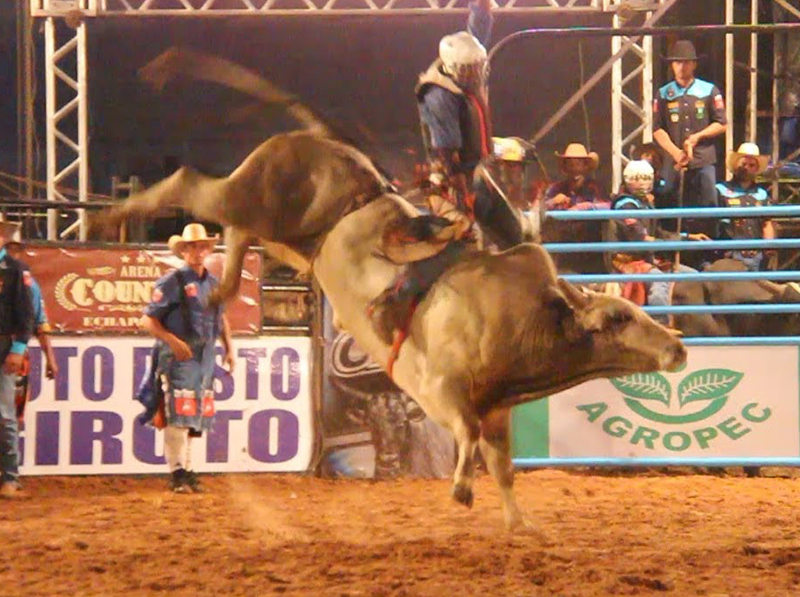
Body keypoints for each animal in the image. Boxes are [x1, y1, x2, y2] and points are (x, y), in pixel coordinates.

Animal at [90, 49, 684, 528]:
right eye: (620, 318)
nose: (678, 349)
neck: (524, 318)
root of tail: (324, 141)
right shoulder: (440, 388)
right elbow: (466, 436)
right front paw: (461, 490)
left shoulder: (497, 411)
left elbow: (502, 465)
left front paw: (519, 524)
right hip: (250, 195)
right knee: (191, 183)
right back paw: (109, 217)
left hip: (285, 236)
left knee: (236, 234)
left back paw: (221, 289)